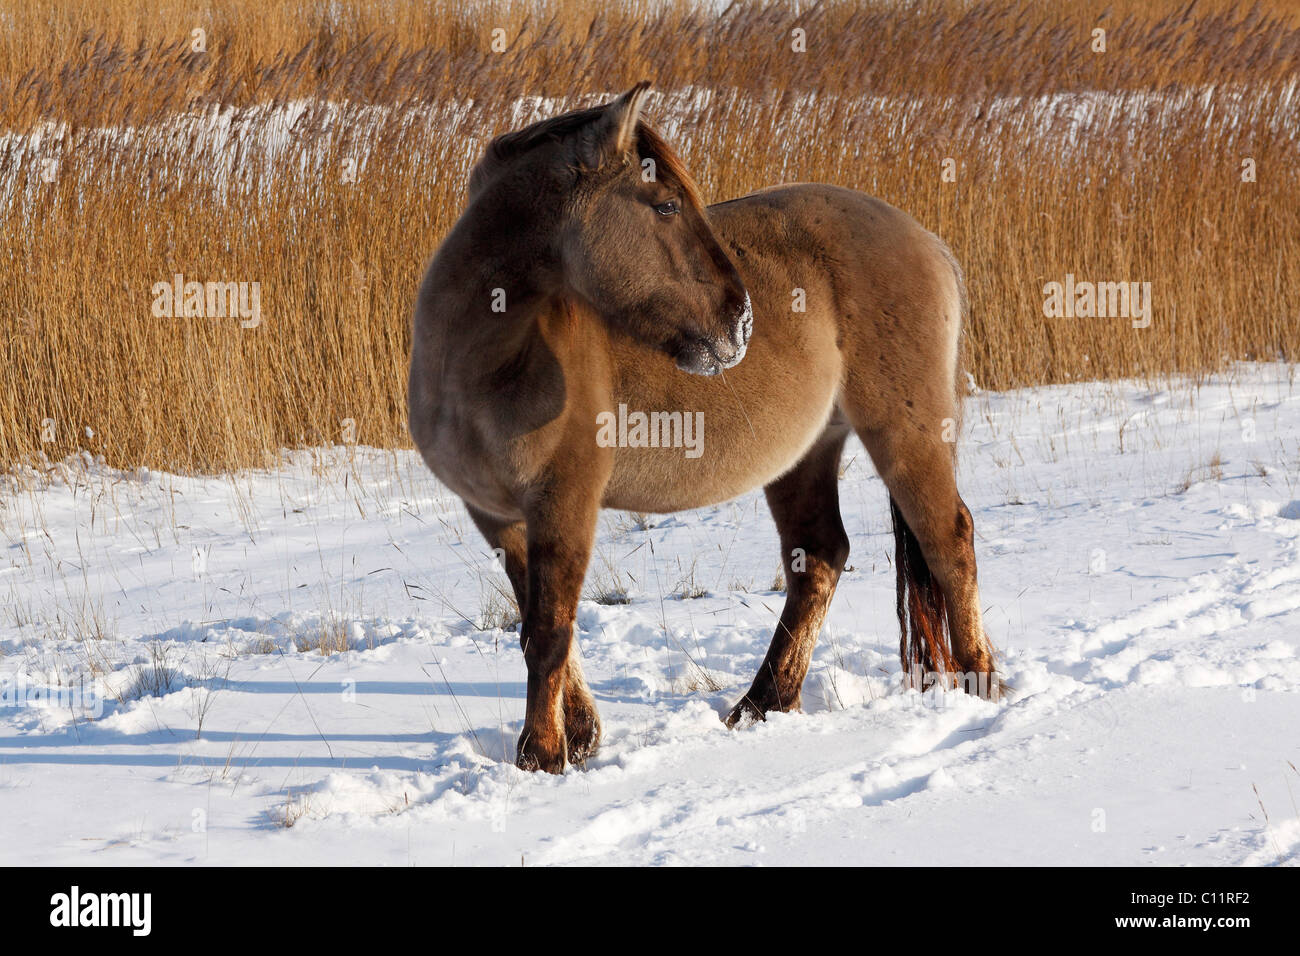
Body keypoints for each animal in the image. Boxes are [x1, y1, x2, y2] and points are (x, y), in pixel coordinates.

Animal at [408, 83, 1000, 773]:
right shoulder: (498, 516)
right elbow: (539, 625)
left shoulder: (565, 503)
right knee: (820, 558)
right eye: (665, 204)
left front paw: (543, 756)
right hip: (805, 455)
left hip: (906, 437)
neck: (488, 360)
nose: (739, 322)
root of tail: (927, 240)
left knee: (949, 543)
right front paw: (577, 739)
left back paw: (982, 685)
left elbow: (550, 631)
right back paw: (762, 705)